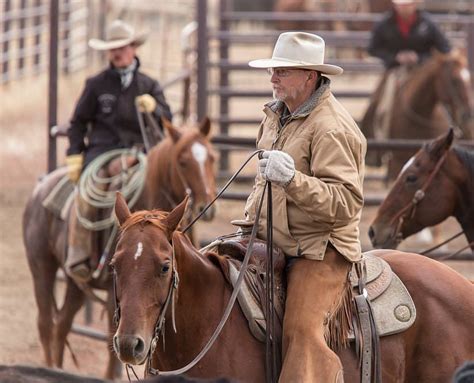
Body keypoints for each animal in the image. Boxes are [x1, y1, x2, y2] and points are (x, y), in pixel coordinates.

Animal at [20, 118, 217, 380]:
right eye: (182, 161)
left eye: (212, 158)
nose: (207, 205)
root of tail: (40, 188)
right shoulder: (115, 294)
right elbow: (111, 347)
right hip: (42, 268)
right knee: (45, 324)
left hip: (75, 285)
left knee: (61, 325)